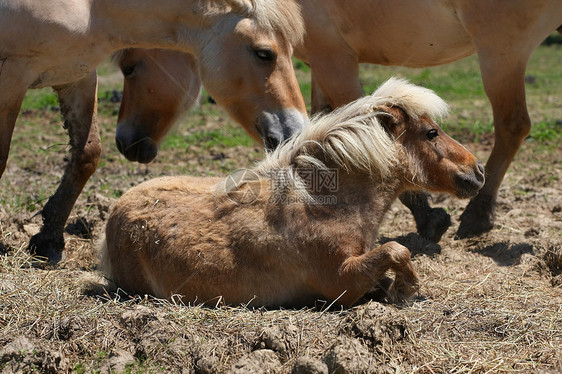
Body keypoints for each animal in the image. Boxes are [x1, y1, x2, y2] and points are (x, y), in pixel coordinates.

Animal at [0, 0, 306, 262]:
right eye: (264, 53)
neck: (92, 8)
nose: (295, 128)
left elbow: (87, 155)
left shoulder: (77, 75)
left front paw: (49, 241)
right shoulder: (13, 76)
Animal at [98, 78, 484, 306]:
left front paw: (393, 288)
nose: (477, 170)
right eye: (432, 133)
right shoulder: (341, 281)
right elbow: (397, 250)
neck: (322, 205)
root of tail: (115, 211)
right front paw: (404, 290)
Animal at [116, 1, 556, 241]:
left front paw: (430, 218)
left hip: (501, 51)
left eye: (130, 66)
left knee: (513, 125)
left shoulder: (334, 59)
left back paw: (478, 214)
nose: (124, 142)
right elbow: (320, 122)